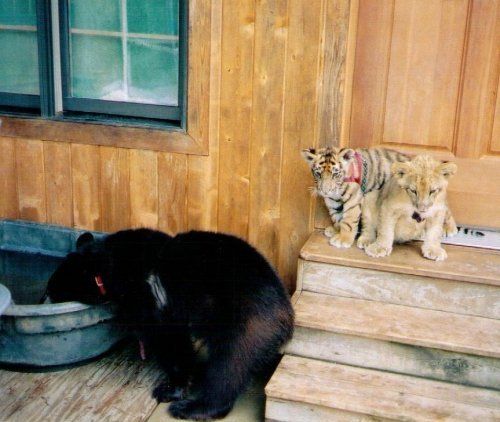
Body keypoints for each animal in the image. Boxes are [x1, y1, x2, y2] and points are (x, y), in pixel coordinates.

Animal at [47, 229, 292, 420]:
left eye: (51, 288)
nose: (45, 298)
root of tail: (285, 314)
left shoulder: (152, 299)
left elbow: (169, 338)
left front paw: (169, 389)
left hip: (245, 323)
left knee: (229, 365)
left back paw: (193, 408)